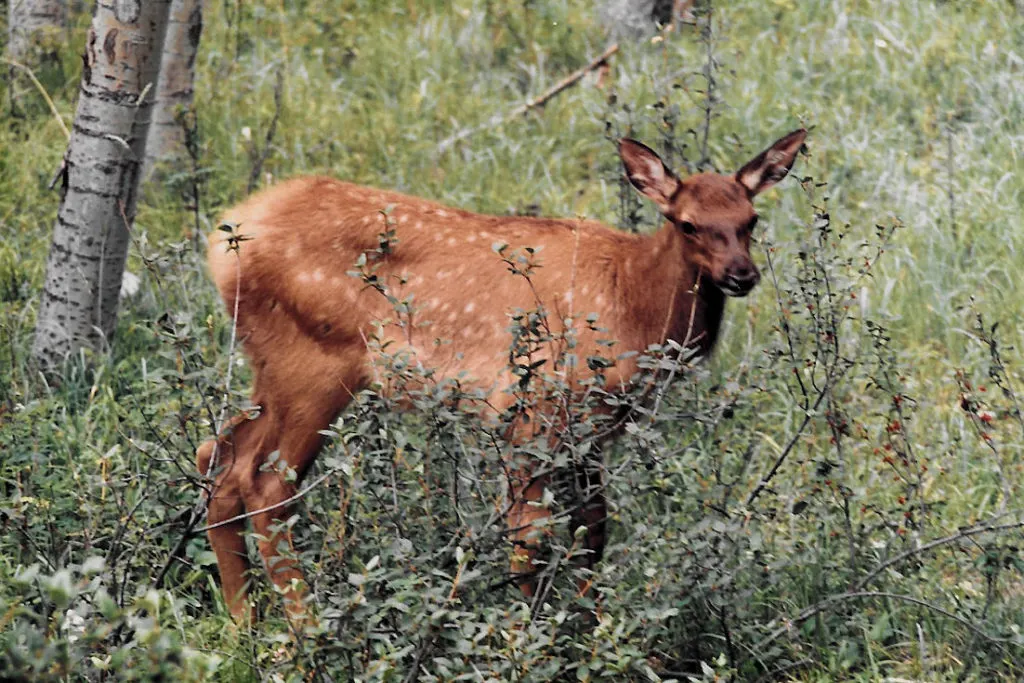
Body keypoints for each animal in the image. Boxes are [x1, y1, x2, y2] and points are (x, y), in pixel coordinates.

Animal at [199, 127, 806, 618]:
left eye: (751, 220)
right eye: (687, 224)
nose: (741, 275)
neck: (631, 304)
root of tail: (220, 245)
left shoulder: (590, 433)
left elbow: (592, 531)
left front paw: (591, 631)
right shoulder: (530, 411)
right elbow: (529, 540)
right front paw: (524, 640)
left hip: (271, 366)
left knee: (220, 459)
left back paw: (244, 622)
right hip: (316, 365)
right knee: (267, 484)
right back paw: (301, 633)